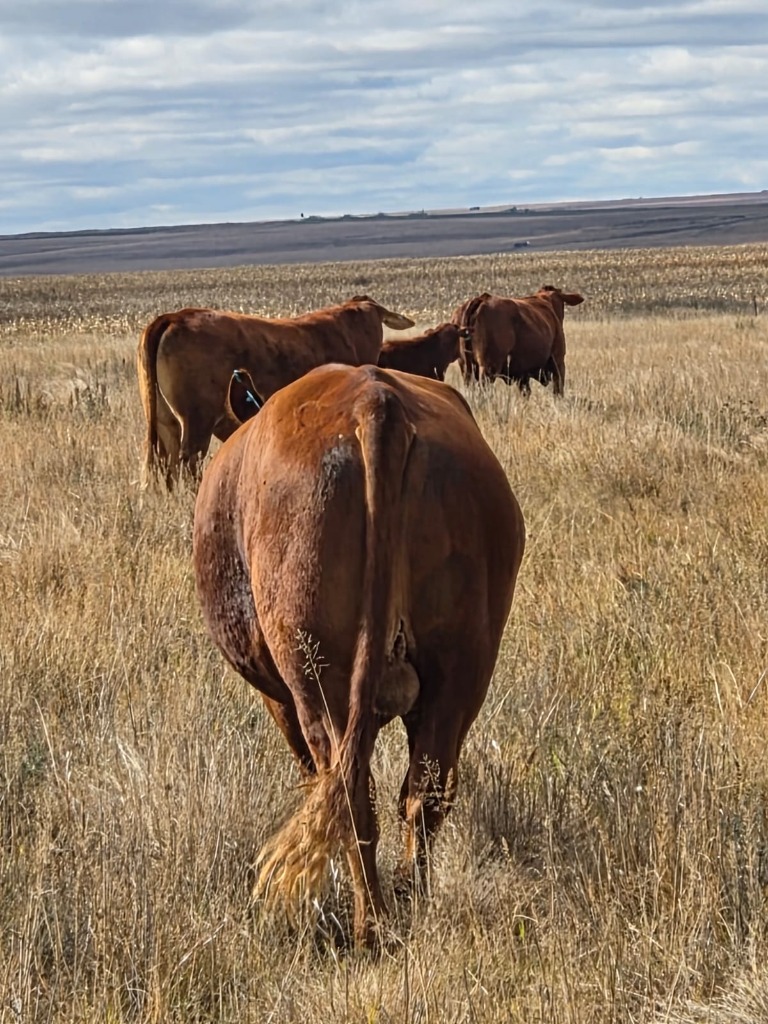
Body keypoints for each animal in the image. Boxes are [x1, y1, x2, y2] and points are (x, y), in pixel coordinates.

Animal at [192, 363, 525, 948]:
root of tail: (375, 402)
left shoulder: (279, 699)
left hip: (317, 682)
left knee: (351, 795)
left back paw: (370, 927)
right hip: (460, 674)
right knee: (422, 793)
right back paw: (408, 901)